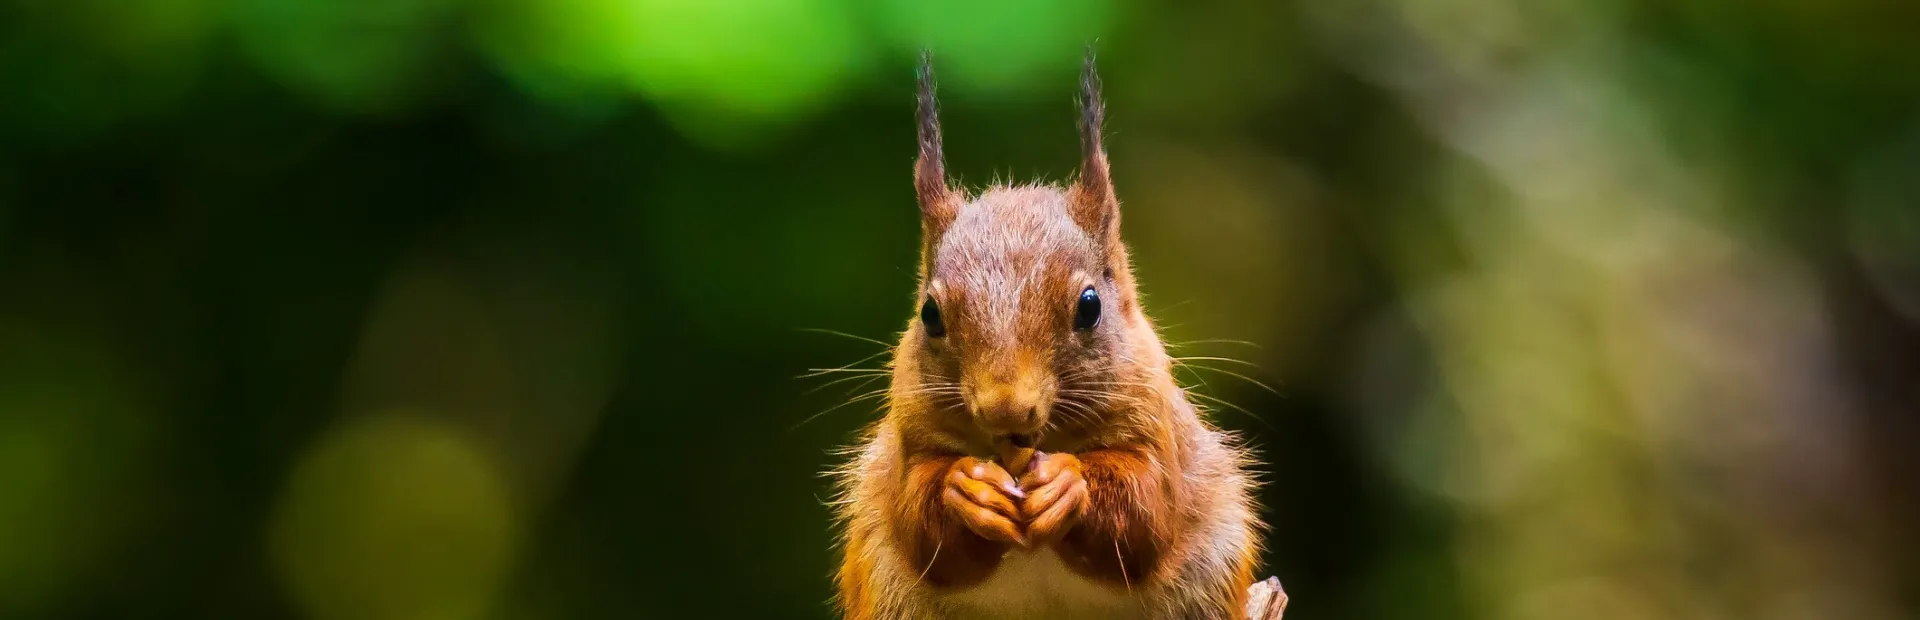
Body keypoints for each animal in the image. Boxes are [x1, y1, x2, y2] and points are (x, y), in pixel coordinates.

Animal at [833, 49, 1267, 620]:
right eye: (930, 314)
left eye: (1090, 306)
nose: (1006, 409)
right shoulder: (910, 435)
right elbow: (920, 525)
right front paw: (966, 489)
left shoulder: (1156, 422)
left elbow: (1149, 513)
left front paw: (1068, 481)